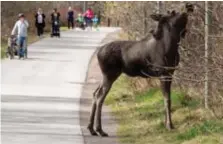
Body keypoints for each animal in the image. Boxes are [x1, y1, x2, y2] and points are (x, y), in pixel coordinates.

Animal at [87, 3, 193, 136]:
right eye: (173, 12)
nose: (188, 5)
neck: (171, 46)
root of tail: (98, 53)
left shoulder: (170, 73)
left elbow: (167, 99)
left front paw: (166, 123)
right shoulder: (163, 73)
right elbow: (167, 99)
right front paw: (169, 125)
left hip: (106, 75)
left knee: (95, 93)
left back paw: (91, 128)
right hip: (110, 74)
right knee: (100, 96)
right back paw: (99, 129)